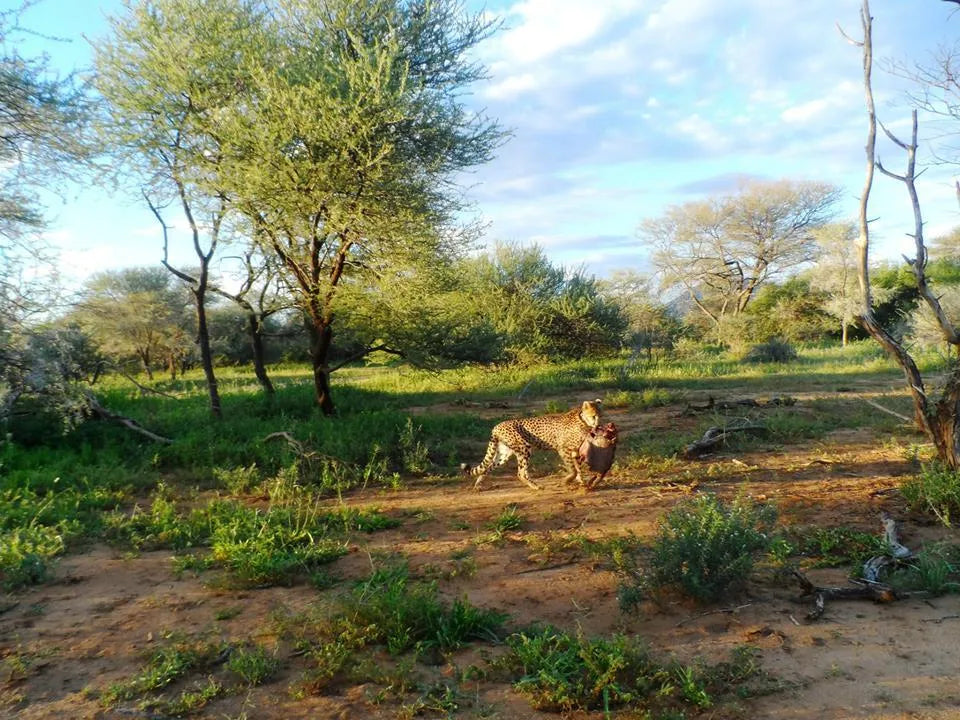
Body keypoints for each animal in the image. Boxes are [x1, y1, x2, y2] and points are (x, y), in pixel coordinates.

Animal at [461, 400, 602, 491]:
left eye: (600, 416)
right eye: (594, 416)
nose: (598, 424)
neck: (582, 420)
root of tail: (497, 426)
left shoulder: (574, 451)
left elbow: (578, 468)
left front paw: (582, 482)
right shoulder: (563, 449)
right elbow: (573, 469)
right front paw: (567, 480)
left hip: (503, 454)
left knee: (487, 467)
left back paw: (478, 485)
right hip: (524, 448)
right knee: (521, 473)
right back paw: (536, 486)